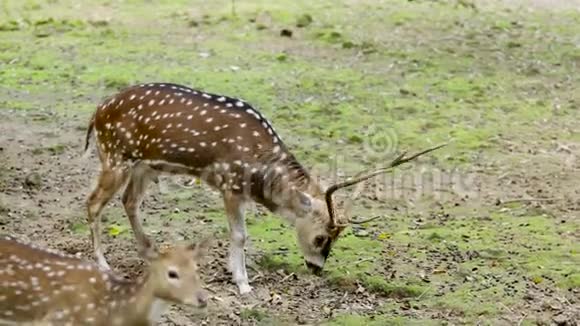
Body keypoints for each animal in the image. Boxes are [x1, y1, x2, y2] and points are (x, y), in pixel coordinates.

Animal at [82, 82, 444, 296]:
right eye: (320, 238)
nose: (316, 269)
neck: (260, 167)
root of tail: (96, 113)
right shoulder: (229, 183)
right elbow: (240, 235)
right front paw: (243, 284)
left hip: (144, 165)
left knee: (129, 200)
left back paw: (150, 251)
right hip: (115, 157)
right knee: (93, 202)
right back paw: (103, 264)